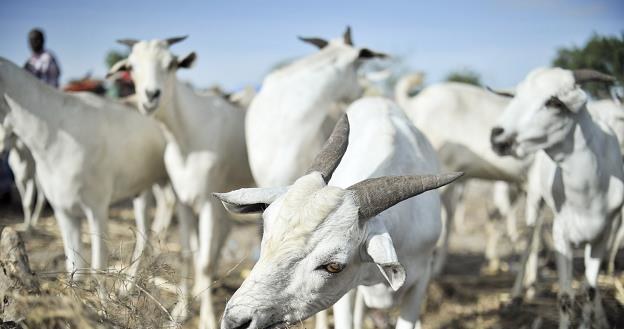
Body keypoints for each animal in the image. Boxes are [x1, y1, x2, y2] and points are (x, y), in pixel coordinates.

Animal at [108, 36, 255, 328]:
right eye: (131, 66)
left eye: (171, 64)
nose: (151, 96)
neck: (187, 135)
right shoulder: (182, 199)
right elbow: (188, 254)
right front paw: (180, 312)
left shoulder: (209, 200)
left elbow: (205, 261)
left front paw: (208, 319)